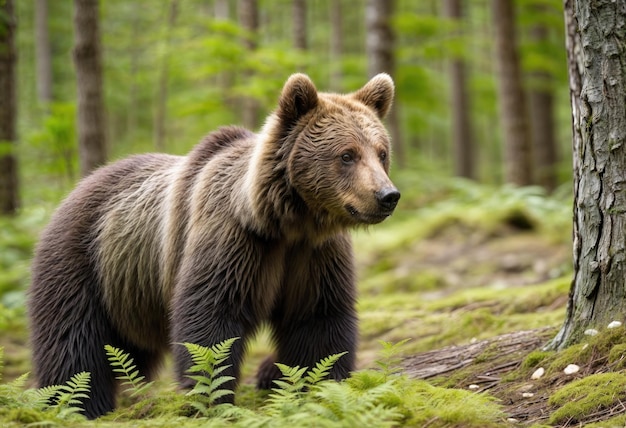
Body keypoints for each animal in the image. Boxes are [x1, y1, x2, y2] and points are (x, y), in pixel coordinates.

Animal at [28, 73, 394, 418]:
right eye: (347, 154)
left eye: (381, 153)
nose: (387, 195)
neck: (287, 222)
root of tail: (79, 186)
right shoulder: (234, 239)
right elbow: (211, 320)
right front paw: (213, 399)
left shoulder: (314, 255)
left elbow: (318, 320)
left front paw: (320, 387)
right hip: (86, 261)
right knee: (74, 344)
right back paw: (78, 405)